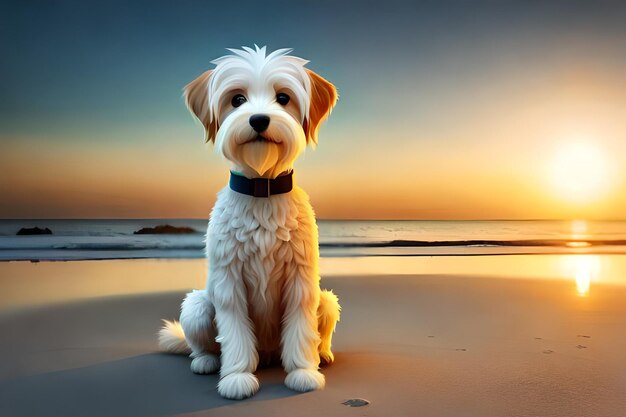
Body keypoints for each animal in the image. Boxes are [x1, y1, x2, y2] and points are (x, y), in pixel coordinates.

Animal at [158, 46, 338, 400]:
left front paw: (303, 372)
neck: (261, 188)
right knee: (202, 344)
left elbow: (301, 328)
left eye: (283, 98)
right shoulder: (229, 281)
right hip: (198, 306)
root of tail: (268, 354)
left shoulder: (300, 280)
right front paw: (237, 377)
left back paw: (321, 354)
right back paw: (205, 361)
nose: (258, 119)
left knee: (318, 329)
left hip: (325, 300)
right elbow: (235, 331)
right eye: (237, 99)